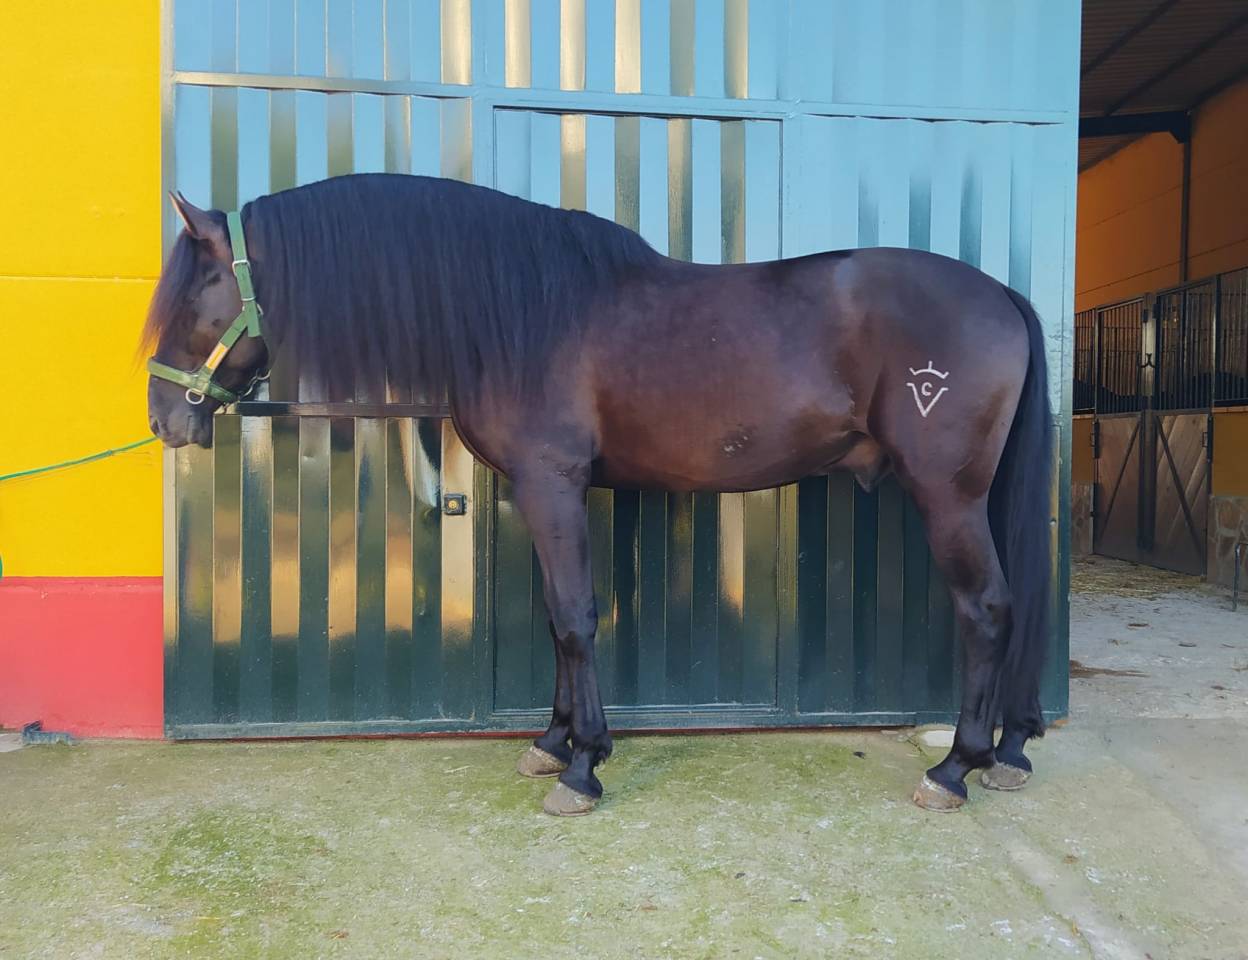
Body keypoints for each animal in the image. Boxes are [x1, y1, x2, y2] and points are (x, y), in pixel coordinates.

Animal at [143, 173, 1053, 816]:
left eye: (193, 297)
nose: (163, 420)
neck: (517, 313)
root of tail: (1003, 294)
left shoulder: (554, 486)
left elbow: (577, 620)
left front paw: (581, 768)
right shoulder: (547, 494)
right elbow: (557, 620)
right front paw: (553, 742)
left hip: (949, 497)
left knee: (987, 611)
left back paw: (955, 766)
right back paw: (1007, 752)